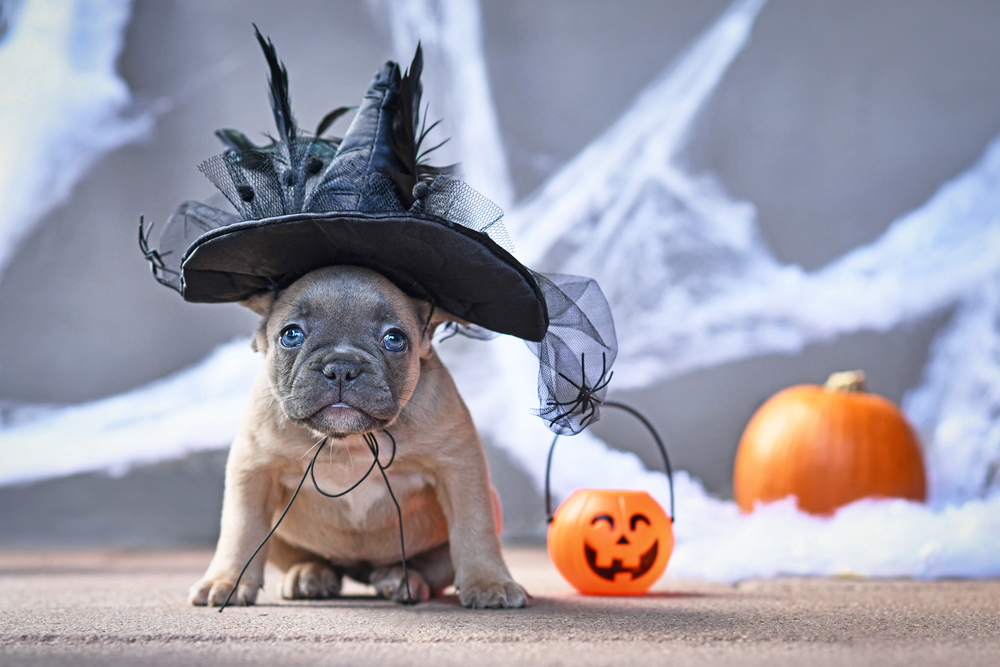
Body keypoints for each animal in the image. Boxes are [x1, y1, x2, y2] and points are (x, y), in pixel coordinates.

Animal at [189, 266, 532, 612]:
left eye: (394, 340)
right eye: (291, 335)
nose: (342, 367)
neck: (349, 441)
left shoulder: (459, 468)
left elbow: (473, 526)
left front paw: (489, 581)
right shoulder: (254, 470)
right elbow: (241, 529)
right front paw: (226, 581)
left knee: (431, 567)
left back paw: (401, 580)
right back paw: (309, 574)